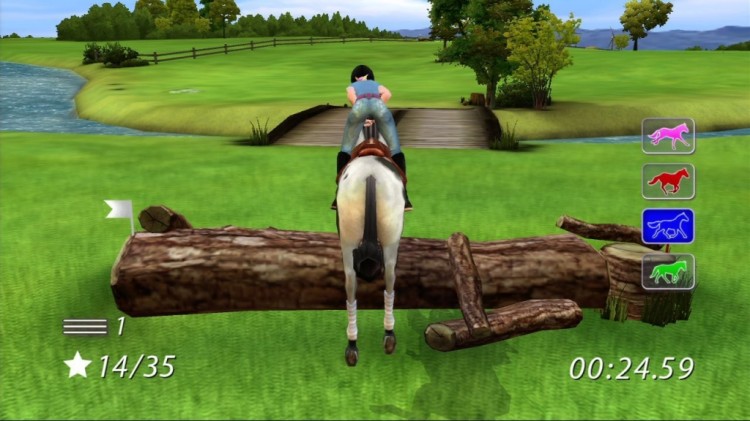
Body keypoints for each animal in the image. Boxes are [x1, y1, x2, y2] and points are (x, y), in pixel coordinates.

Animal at [336, 121, 405, 366]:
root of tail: (370, 174)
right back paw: (388, 335)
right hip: (390, 240)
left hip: (348, 241)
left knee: (350, 284)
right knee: (390, 278)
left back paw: (353, 344)